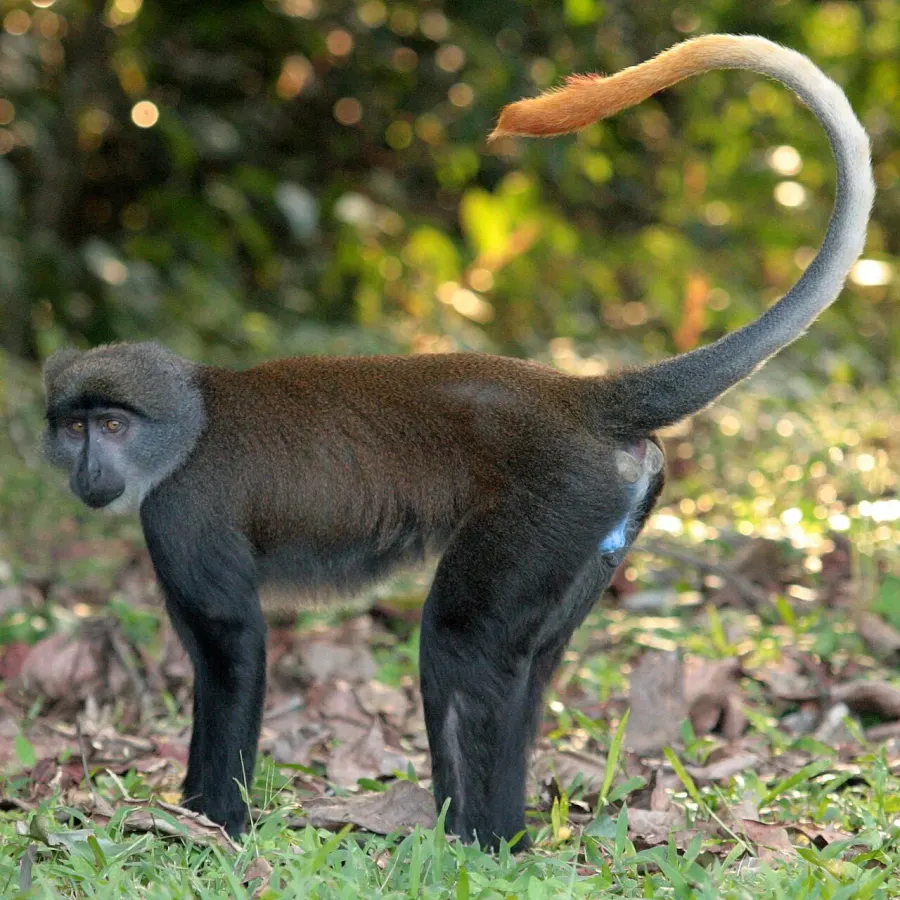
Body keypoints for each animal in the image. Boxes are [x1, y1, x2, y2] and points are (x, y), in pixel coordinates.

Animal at [41, 35, 873, 850]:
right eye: (73, 426)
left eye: (111, 426)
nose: (88, 466)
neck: (192, 418)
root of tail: (575, 395)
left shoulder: (182, 512)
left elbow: (233, 648)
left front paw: (215, 824)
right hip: (596, 523)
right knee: (528, 663)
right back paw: (505, 837)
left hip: (553, 500)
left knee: (460, 640)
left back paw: (479, 842)